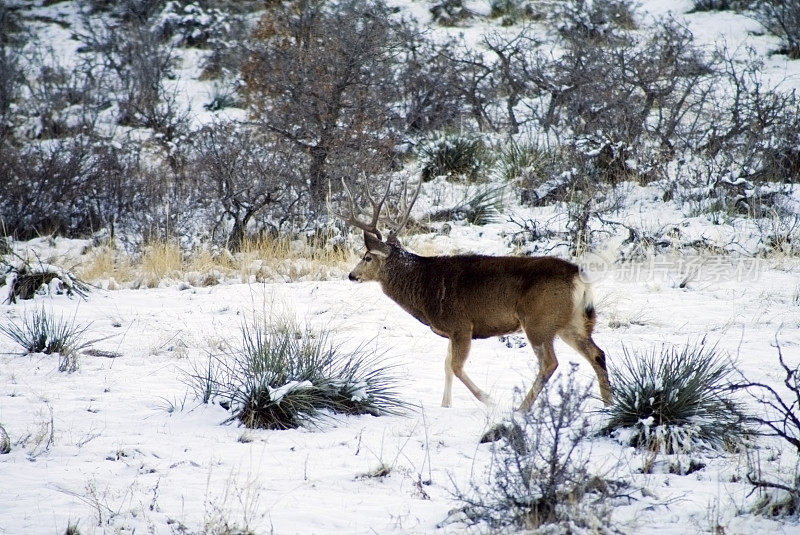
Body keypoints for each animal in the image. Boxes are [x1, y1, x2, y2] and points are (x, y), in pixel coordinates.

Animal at [332, 179, 612, 414]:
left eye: (367, 257)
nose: (351, 275)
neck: (423, 288)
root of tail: (578, 276)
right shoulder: (451, 331)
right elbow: (446, 365)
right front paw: (445, 406)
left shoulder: (461, 325)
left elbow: (455, 367)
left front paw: (490, 400)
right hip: (571, 321)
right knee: (597, 353)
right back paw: (608, 404)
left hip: (538, 319)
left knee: (550, 363)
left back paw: (521, 408)